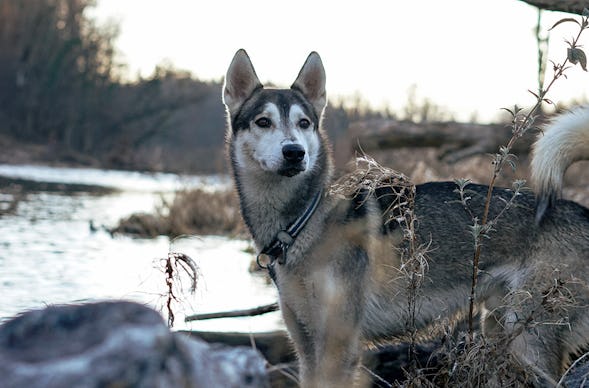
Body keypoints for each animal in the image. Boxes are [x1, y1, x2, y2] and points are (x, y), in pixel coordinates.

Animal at [222, 50, 588, 386]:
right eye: (263, 122)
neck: (304, 224)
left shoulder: (338, 349)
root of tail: (582, 210)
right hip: (500, 330)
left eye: (304, 123)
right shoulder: (306, 348)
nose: (294, 152)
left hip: (529, 338)